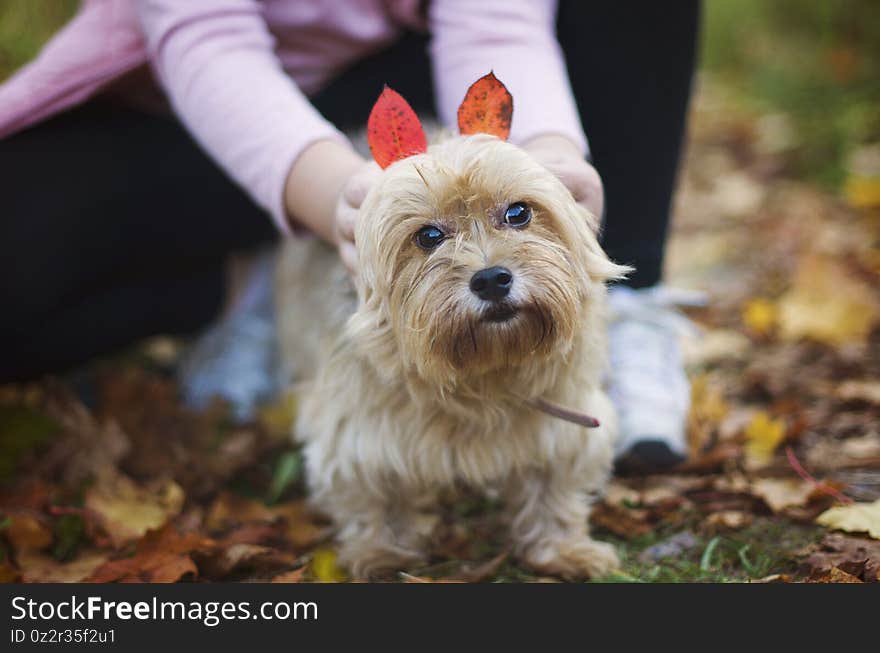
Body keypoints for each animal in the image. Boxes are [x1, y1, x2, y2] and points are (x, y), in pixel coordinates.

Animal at [278, 74, 628, 580]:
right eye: (428, 236)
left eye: (518, 213)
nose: (491, 278)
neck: (482, 373)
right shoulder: (359, 432)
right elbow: (374, 495)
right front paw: (382, 554)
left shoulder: (562, 422)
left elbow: (552, 486)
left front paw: (562, 549)